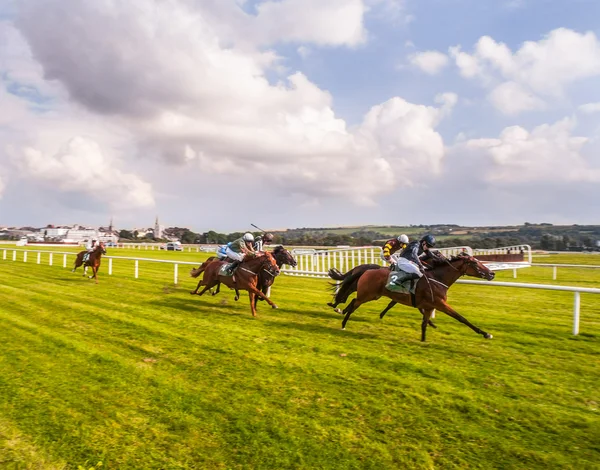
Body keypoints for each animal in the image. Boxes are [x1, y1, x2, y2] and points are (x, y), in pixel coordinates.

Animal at [330, 253, 494, 342]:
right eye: (474, 263)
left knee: (352, 301)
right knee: (353, 304)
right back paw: (343, 322)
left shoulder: (429, 305)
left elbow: (424, 323)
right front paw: (486, 333)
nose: (492, 274)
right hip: (367, 294)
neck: (437, 278)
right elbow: (461, 318)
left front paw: (423, 339)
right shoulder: (440, 304)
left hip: (372, 295)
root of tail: (368, 270)